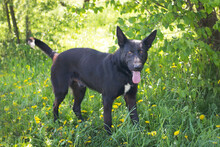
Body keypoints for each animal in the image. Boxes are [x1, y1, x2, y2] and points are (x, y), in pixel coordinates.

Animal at [28, 26, 156, 133]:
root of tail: (57, 55)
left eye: (142, 52)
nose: (137, 67)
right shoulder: (107, 99)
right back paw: (56, 123)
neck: (122, 70)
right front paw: (110, 137)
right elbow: (108, 120)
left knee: (75, 107)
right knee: (54, 106)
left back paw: (83, 124)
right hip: (61, 90)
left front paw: (138, 133)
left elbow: (135, 117)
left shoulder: (131, 97)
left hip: (80, 90)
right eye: (129, 52)